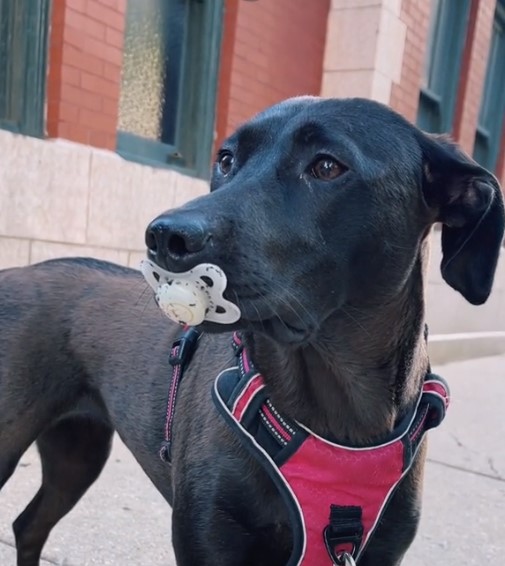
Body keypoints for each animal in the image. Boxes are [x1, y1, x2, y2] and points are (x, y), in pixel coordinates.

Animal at [0, 97, 502, 566]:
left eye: (326, 166)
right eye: (226, 160)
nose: (163, 237)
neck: (339, 417)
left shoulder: (378, 551)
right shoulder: (208, 539)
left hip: (77, 452)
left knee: (28, 525)